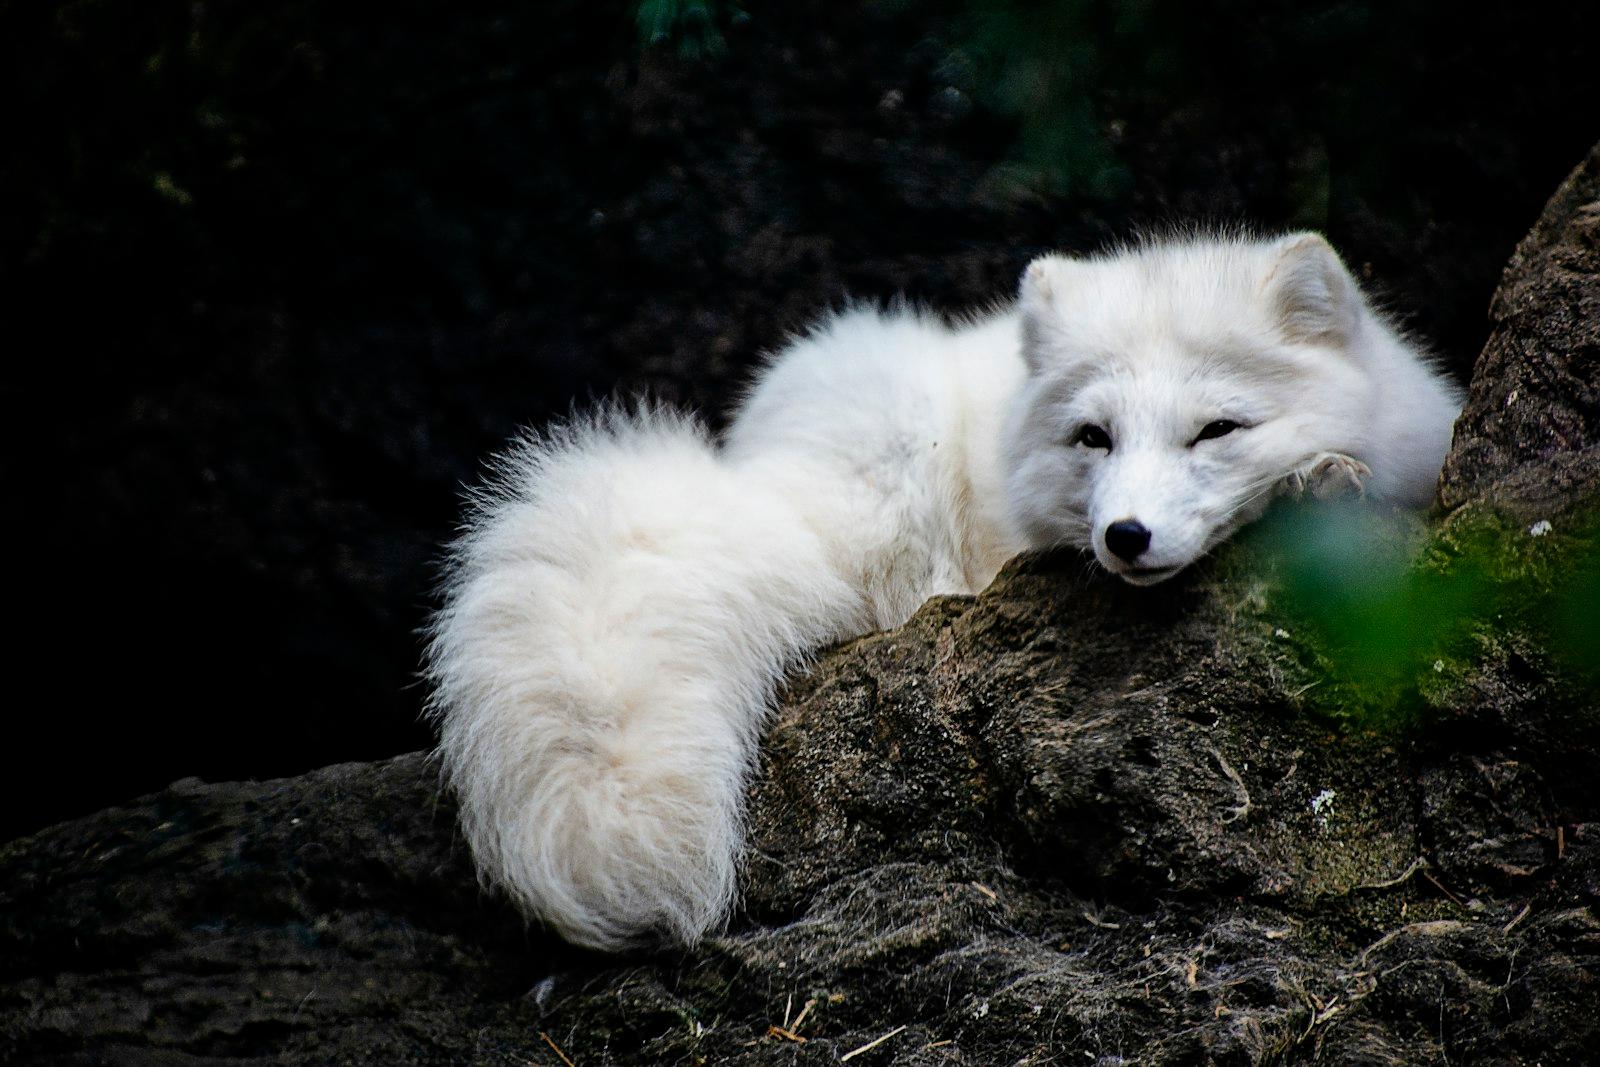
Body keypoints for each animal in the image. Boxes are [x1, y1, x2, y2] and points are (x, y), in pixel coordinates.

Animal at [426, 232, 1464, 951]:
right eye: (1093, 436)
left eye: (1217, 429)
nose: (1124, 537)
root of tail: (763, 466)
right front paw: (1314, 483)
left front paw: (1323, 476)